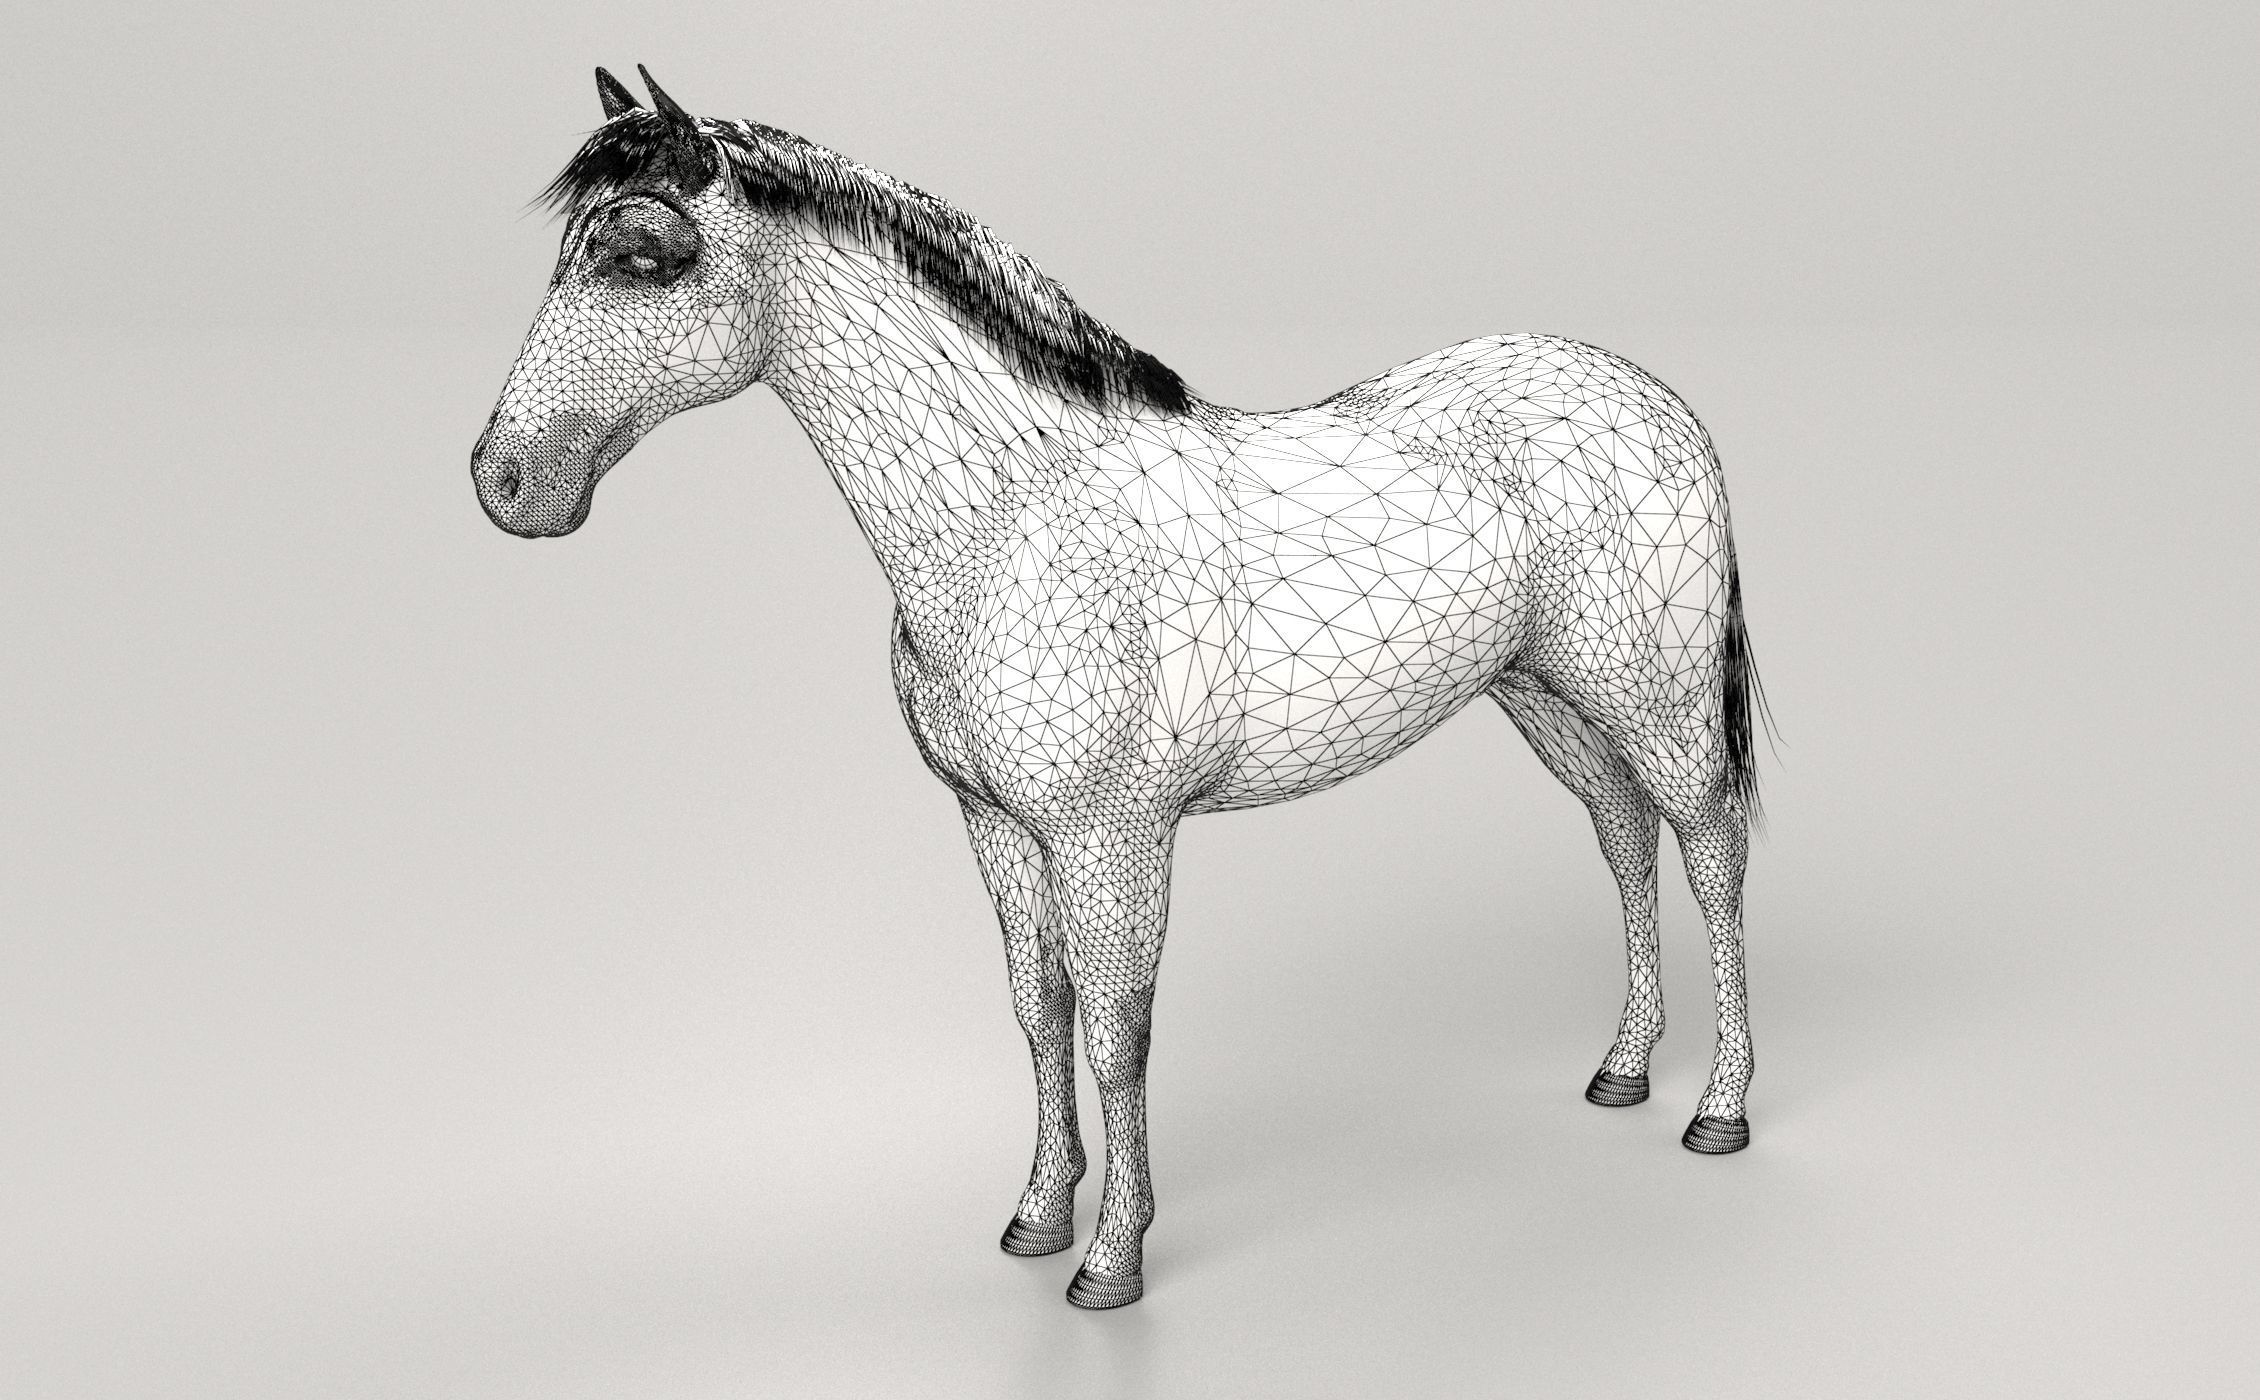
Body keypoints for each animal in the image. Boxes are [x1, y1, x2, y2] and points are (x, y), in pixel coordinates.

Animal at [471, 66, 1768, 1310]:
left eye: (644, 254)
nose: (504, 480)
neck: (1013, 517)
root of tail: (1648, 396)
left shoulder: (1112, 832)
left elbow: (1115, 1029)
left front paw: (1110, 1260)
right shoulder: (994, 823)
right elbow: (1037, 1008)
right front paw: (1037, 1214)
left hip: (1654, 700)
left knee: (1709, 849)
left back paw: (1718, 1107)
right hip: (1549, 698)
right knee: (1622, 837)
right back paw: (1621, 1071)